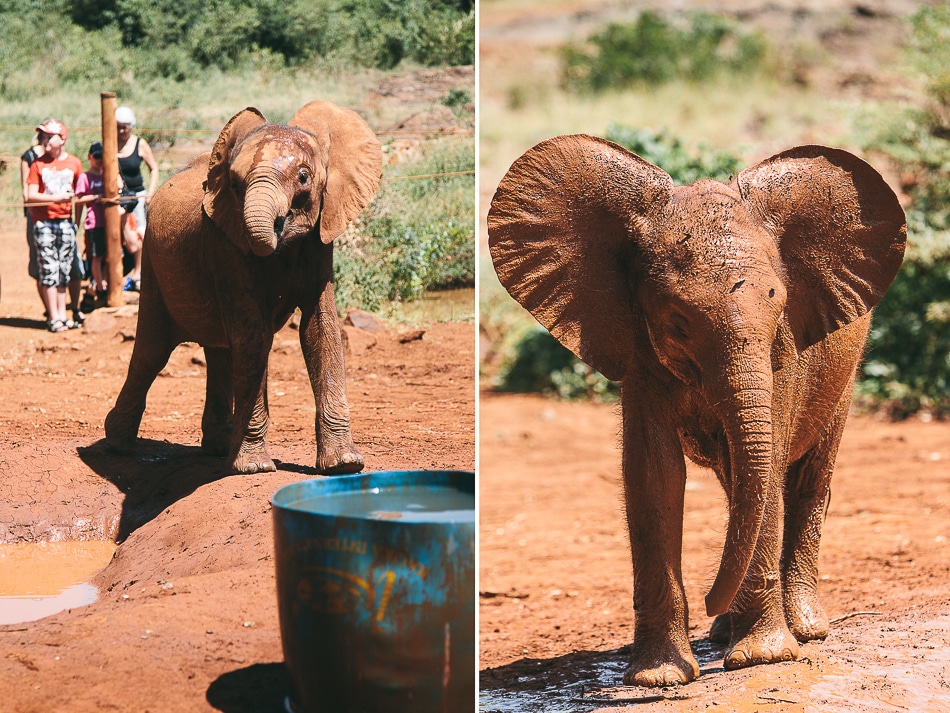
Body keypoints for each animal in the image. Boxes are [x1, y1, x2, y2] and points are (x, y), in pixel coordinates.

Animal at [106, 100, 382, 476]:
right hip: (151, 266)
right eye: (236, 184)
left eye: (304, 177)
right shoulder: (225, 244)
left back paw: (218, 448)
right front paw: (254, 468)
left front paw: (344, 465)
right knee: (152, 351)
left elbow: (319, 329)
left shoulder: (322, 236)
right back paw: (116, 443)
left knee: (219, 350)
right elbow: (254, 333)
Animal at [490, 136, 908, 688]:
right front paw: (659, 678)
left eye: (779, 304)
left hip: (846, 372)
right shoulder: (638, 351)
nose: (711, 602)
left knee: (805, 478)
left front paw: (762, 659)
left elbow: (767, 465)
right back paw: (725, 632)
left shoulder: (785, 357)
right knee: (742, 483)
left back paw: (802, 630)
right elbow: (655, 475)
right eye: (678, 320)